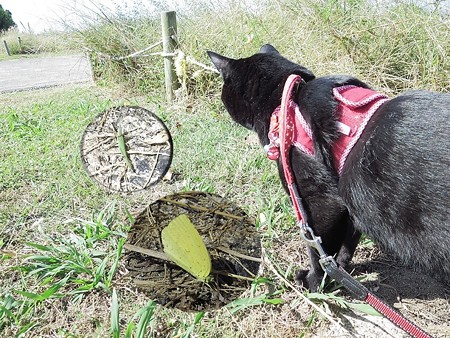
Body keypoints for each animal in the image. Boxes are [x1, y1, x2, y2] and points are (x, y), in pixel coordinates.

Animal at [207, 43, 450, 290]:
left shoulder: (320, 202)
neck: (287, 100)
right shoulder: (349, 203)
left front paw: (315, 282)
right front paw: (339, 273)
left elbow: (319, 249)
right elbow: (346, 244)